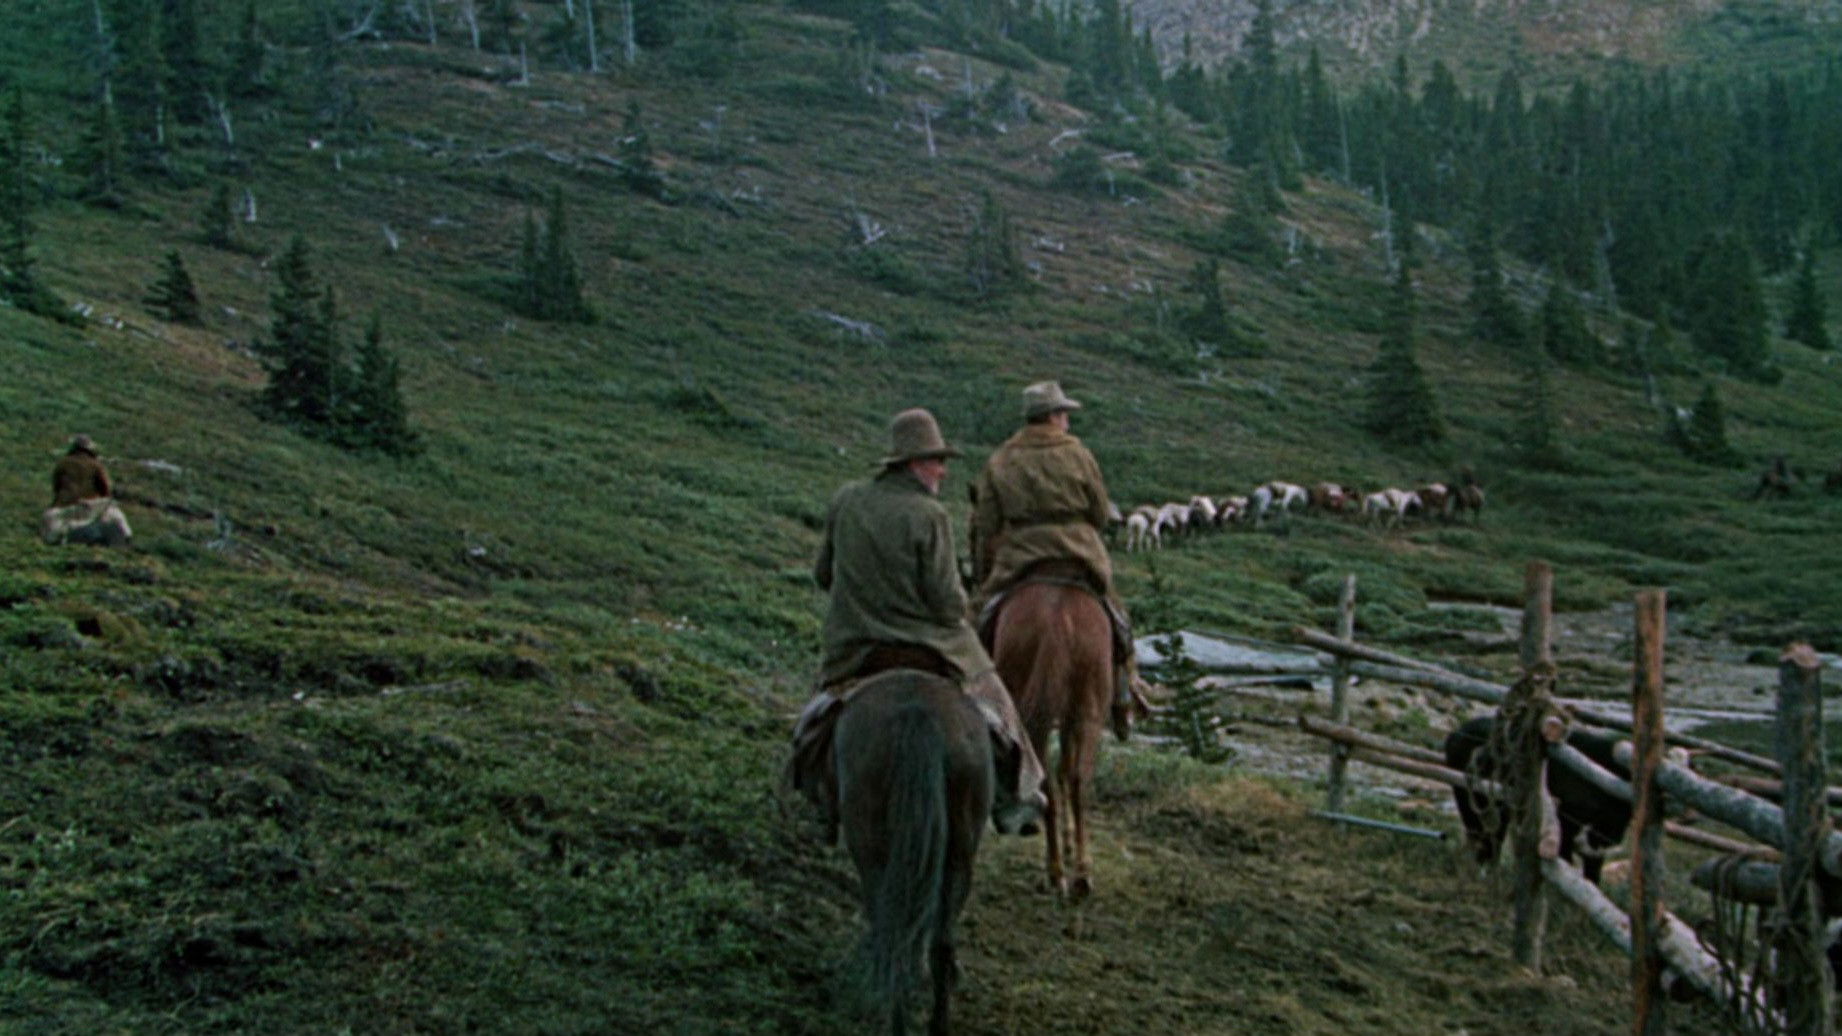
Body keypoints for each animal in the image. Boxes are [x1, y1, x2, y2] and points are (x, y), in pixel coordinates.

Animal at [834, 669, 993, 1036]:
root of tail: (918, 715)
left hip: (872, 851)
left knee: (895, 937)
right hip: (958, 858)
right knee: (940, 944)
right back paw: (937, 1021)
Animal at [989, 562, 1118, 899]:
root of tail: (1060, 619)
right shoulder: (1073, 718)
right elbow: (1067, 770)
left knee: (1052, 778)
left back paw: (1058, 871)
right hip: (1087, 714)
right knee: (1077, 780)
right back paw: (1078, 874)